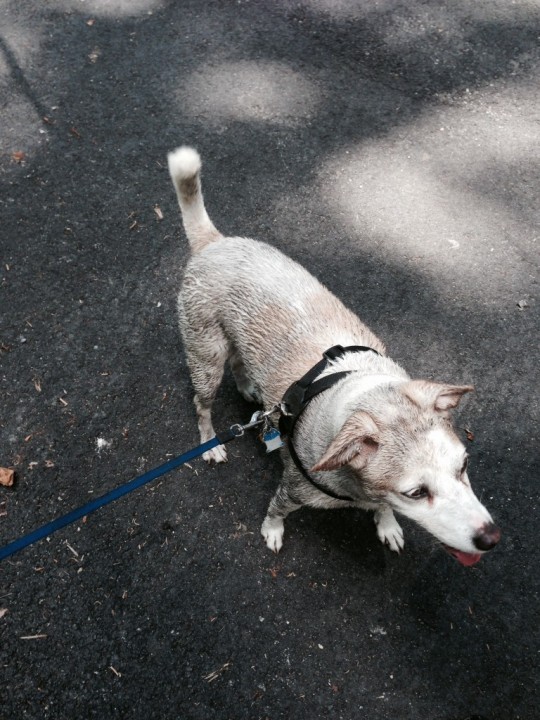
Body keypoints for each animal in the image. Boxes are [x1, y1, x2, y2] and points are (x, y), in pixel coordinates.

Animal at [167, 145, 500, 564]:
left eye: (464, 465)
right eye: (416, 493)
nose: (491, 538)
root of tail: (214, 242)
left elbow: (382, 508)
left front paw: (387, 524)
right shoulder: (293, 489)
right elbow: (276, 510)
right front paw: (272, 531)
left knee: (240, 362)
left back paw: (249, 390)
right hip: (205, 356)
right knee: (202, 403)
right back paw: (210, 442)